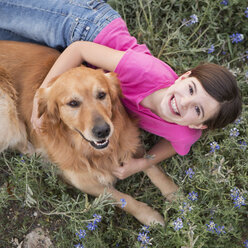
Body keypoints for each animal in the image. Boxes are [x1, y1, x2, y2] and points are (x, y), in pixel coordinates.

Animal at [0, 41, 178, 227]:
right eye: (73, 103)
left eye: (101, 94)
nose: (103, 130)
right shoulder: (83, 181)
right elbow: (122, 198)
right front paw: (151, 216)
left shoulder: (130, 138)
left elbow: (152, 166)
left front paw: (175, 193)